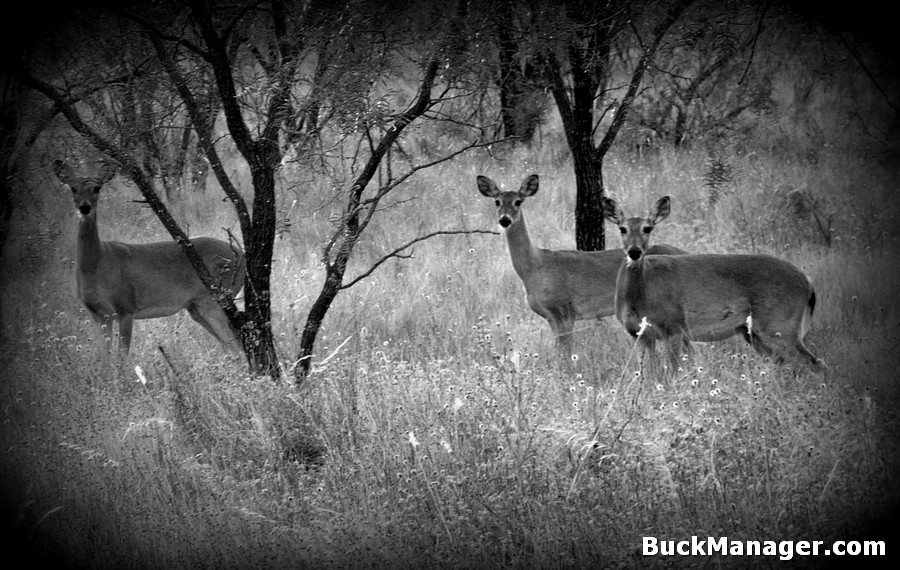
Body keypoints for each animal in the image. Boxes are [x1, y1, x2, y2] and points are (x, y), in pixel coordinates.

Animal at [56, 160, 246, 352]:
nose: (84, 207)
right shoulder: (99, 315)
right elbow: (105, 356)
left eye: (96, 188)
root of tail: (242, 255)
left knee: (237, 344)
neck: (98, 263)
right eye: (73, 188)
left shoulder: (125, 307)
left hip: (215, 299)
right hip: (196, 307)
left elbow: (122, 356)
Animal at [478, 173, 684, 356]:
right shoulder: (551, 317)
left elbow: (565, 355)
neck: (536, 267)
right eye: (497, 202)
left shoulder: (565, 310)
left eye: (518, 201)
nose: (505, 220)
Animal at [600, 194, 828, 372]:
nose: (634, 252)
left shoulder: (673, 326)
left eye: (647, 228)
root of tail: (808, 283)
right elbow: (648, 375)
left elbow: (672, 372)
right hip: (753, 332)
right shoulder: (640, 334)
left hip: (780, 324)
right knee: (784, 362)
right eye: (622, 229)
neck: (640, 295)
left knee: (815, 363)